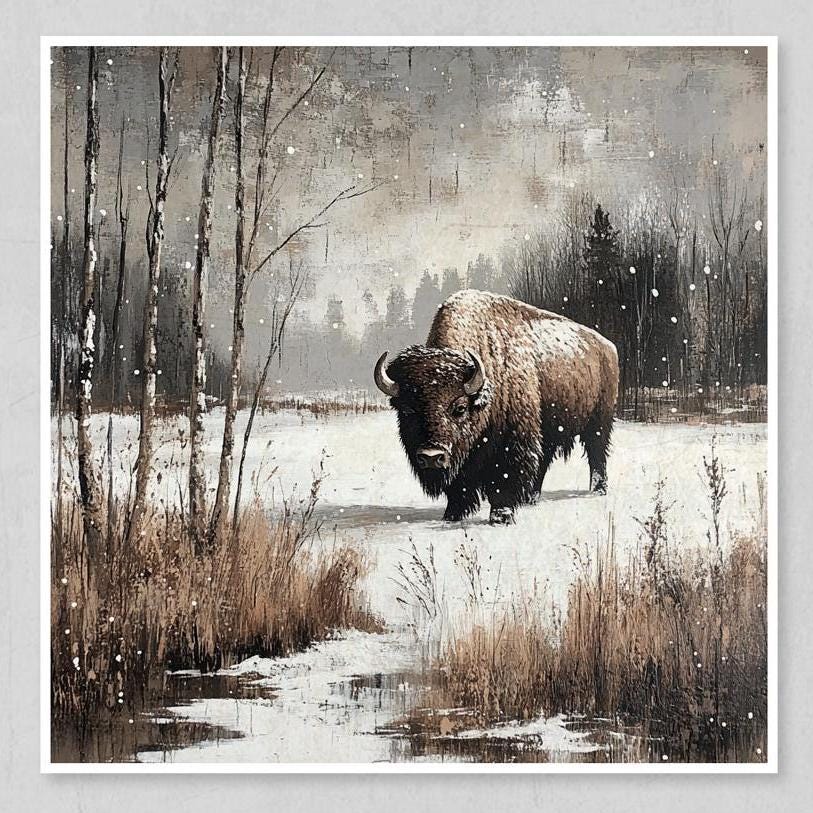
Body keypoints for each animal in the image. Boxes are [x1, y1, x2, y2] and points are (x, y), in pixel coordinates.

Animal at [373, 289, 619, 525]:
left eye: (459, 408)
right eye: (407, 410)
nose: (432, 457)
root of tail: (608, 347)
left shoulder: (513, 441)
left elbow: (504, 479)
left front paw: (501, 516)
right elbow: (459, 484)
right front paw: (452, 514)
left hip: (599, 424)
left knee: (597, 454)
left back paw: (597, 490)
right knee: (544, 461)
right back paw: (531, 498)